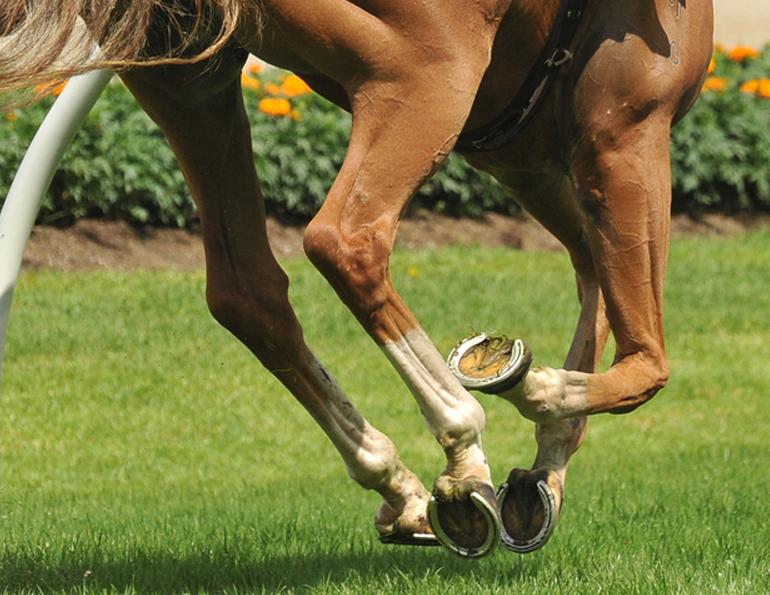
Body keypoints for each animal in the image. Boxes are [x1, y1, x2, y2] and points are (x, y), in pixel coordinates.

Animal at [0, 0, 713, 558]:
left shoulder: (536, 164)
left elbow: (595, 280)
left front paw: (541, 483)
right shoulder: (624, 135)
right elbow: (647, 362)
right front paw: (531, 388)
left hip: (192, 76)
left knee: (246, 291)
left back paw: (398, 481)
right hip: (423, 70)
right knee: (347, 242)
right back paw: (462, 447)